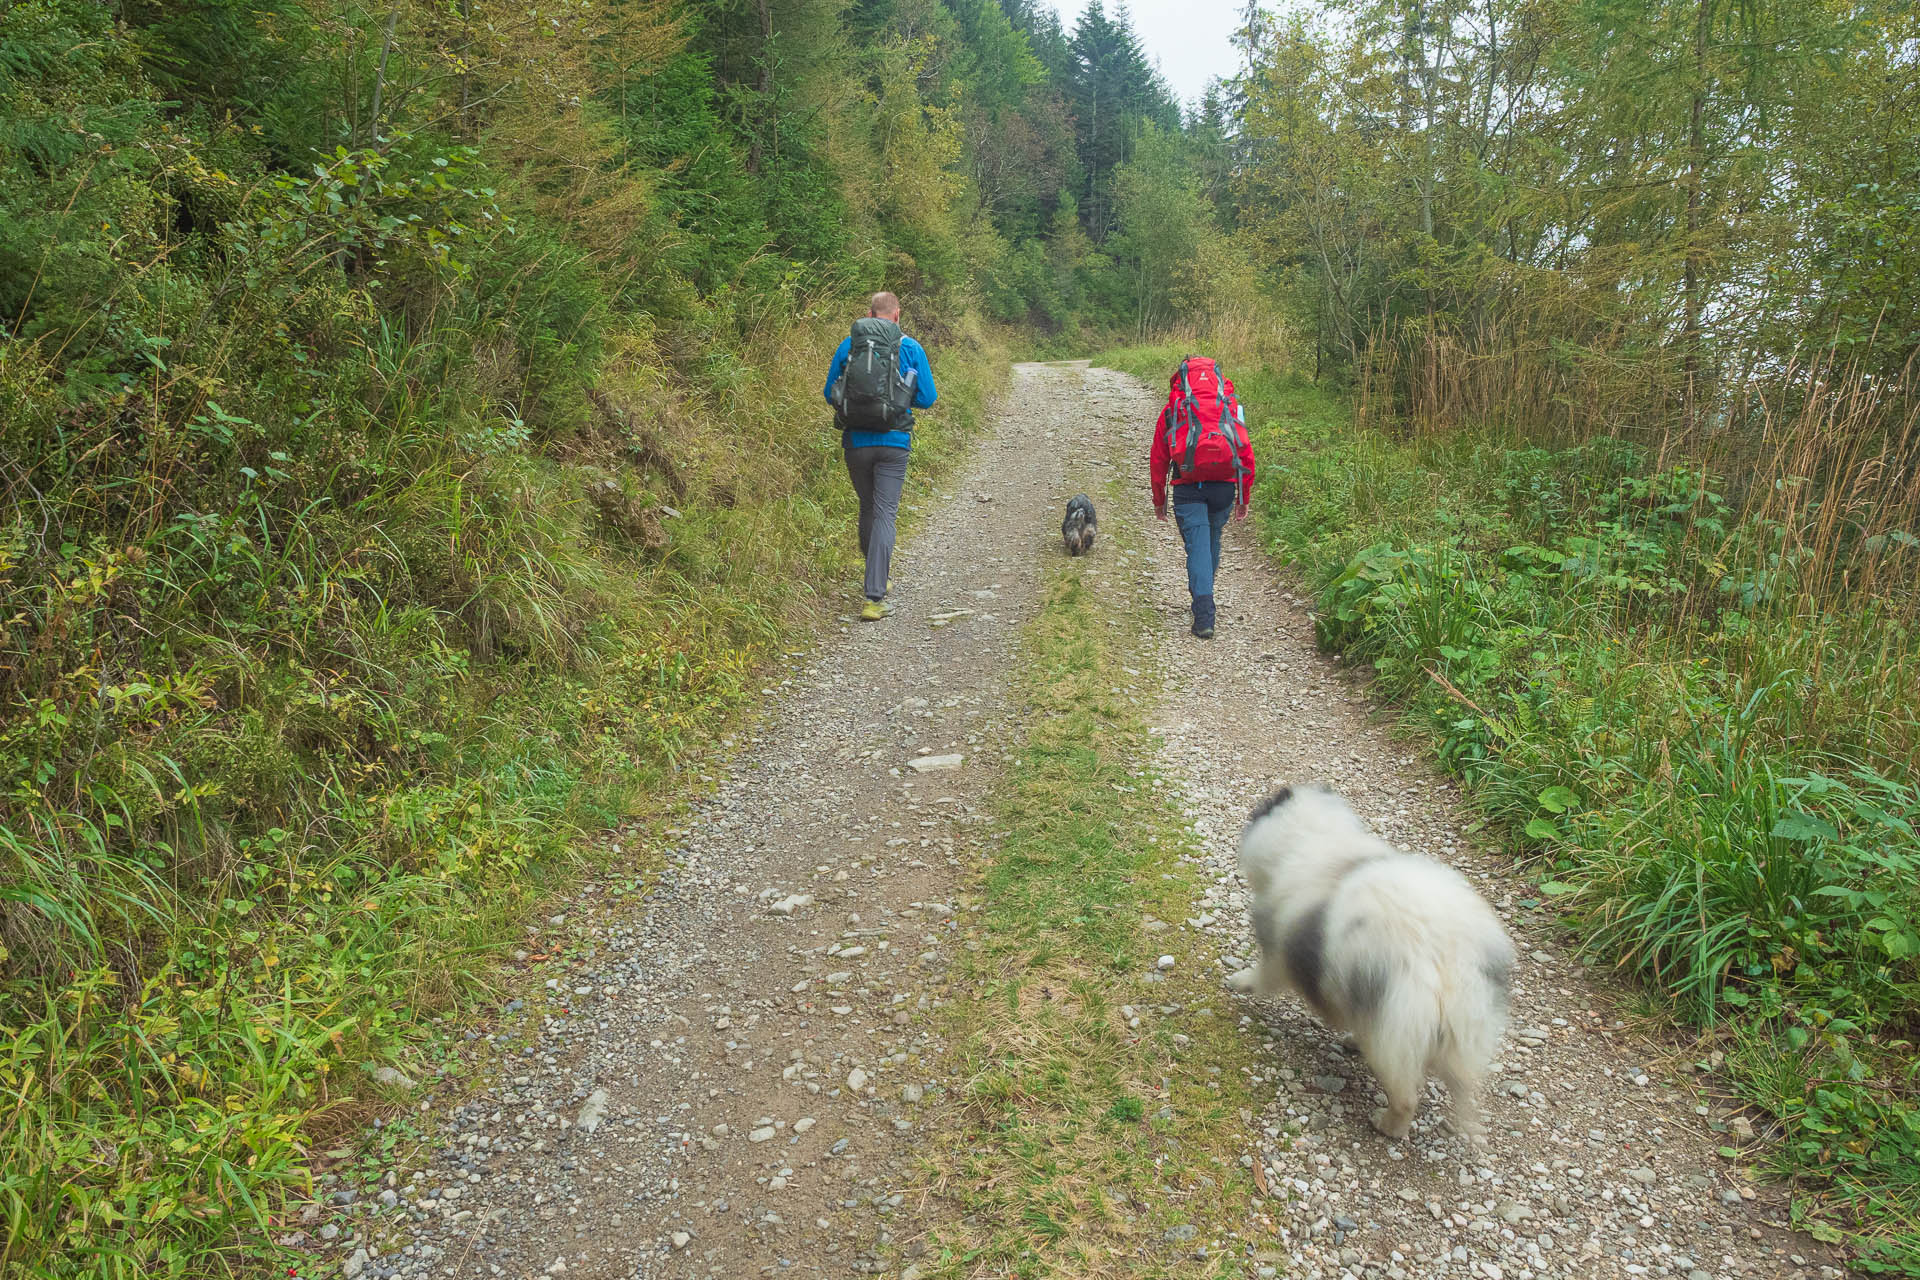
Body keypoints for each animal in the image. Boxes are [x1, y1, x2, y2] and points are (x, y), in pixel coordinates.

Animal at [1228, 786, 1512, 1143]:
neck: (1318, 835)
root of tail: (1448, 965)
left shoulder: (1280, 947)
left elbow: (1264, 973)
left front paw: (1240, 982)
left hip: (1395, 1027)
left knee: (1405, 1096)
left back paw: (1386, 1124)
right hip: (1462, 1035)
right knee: (1462, 1086)